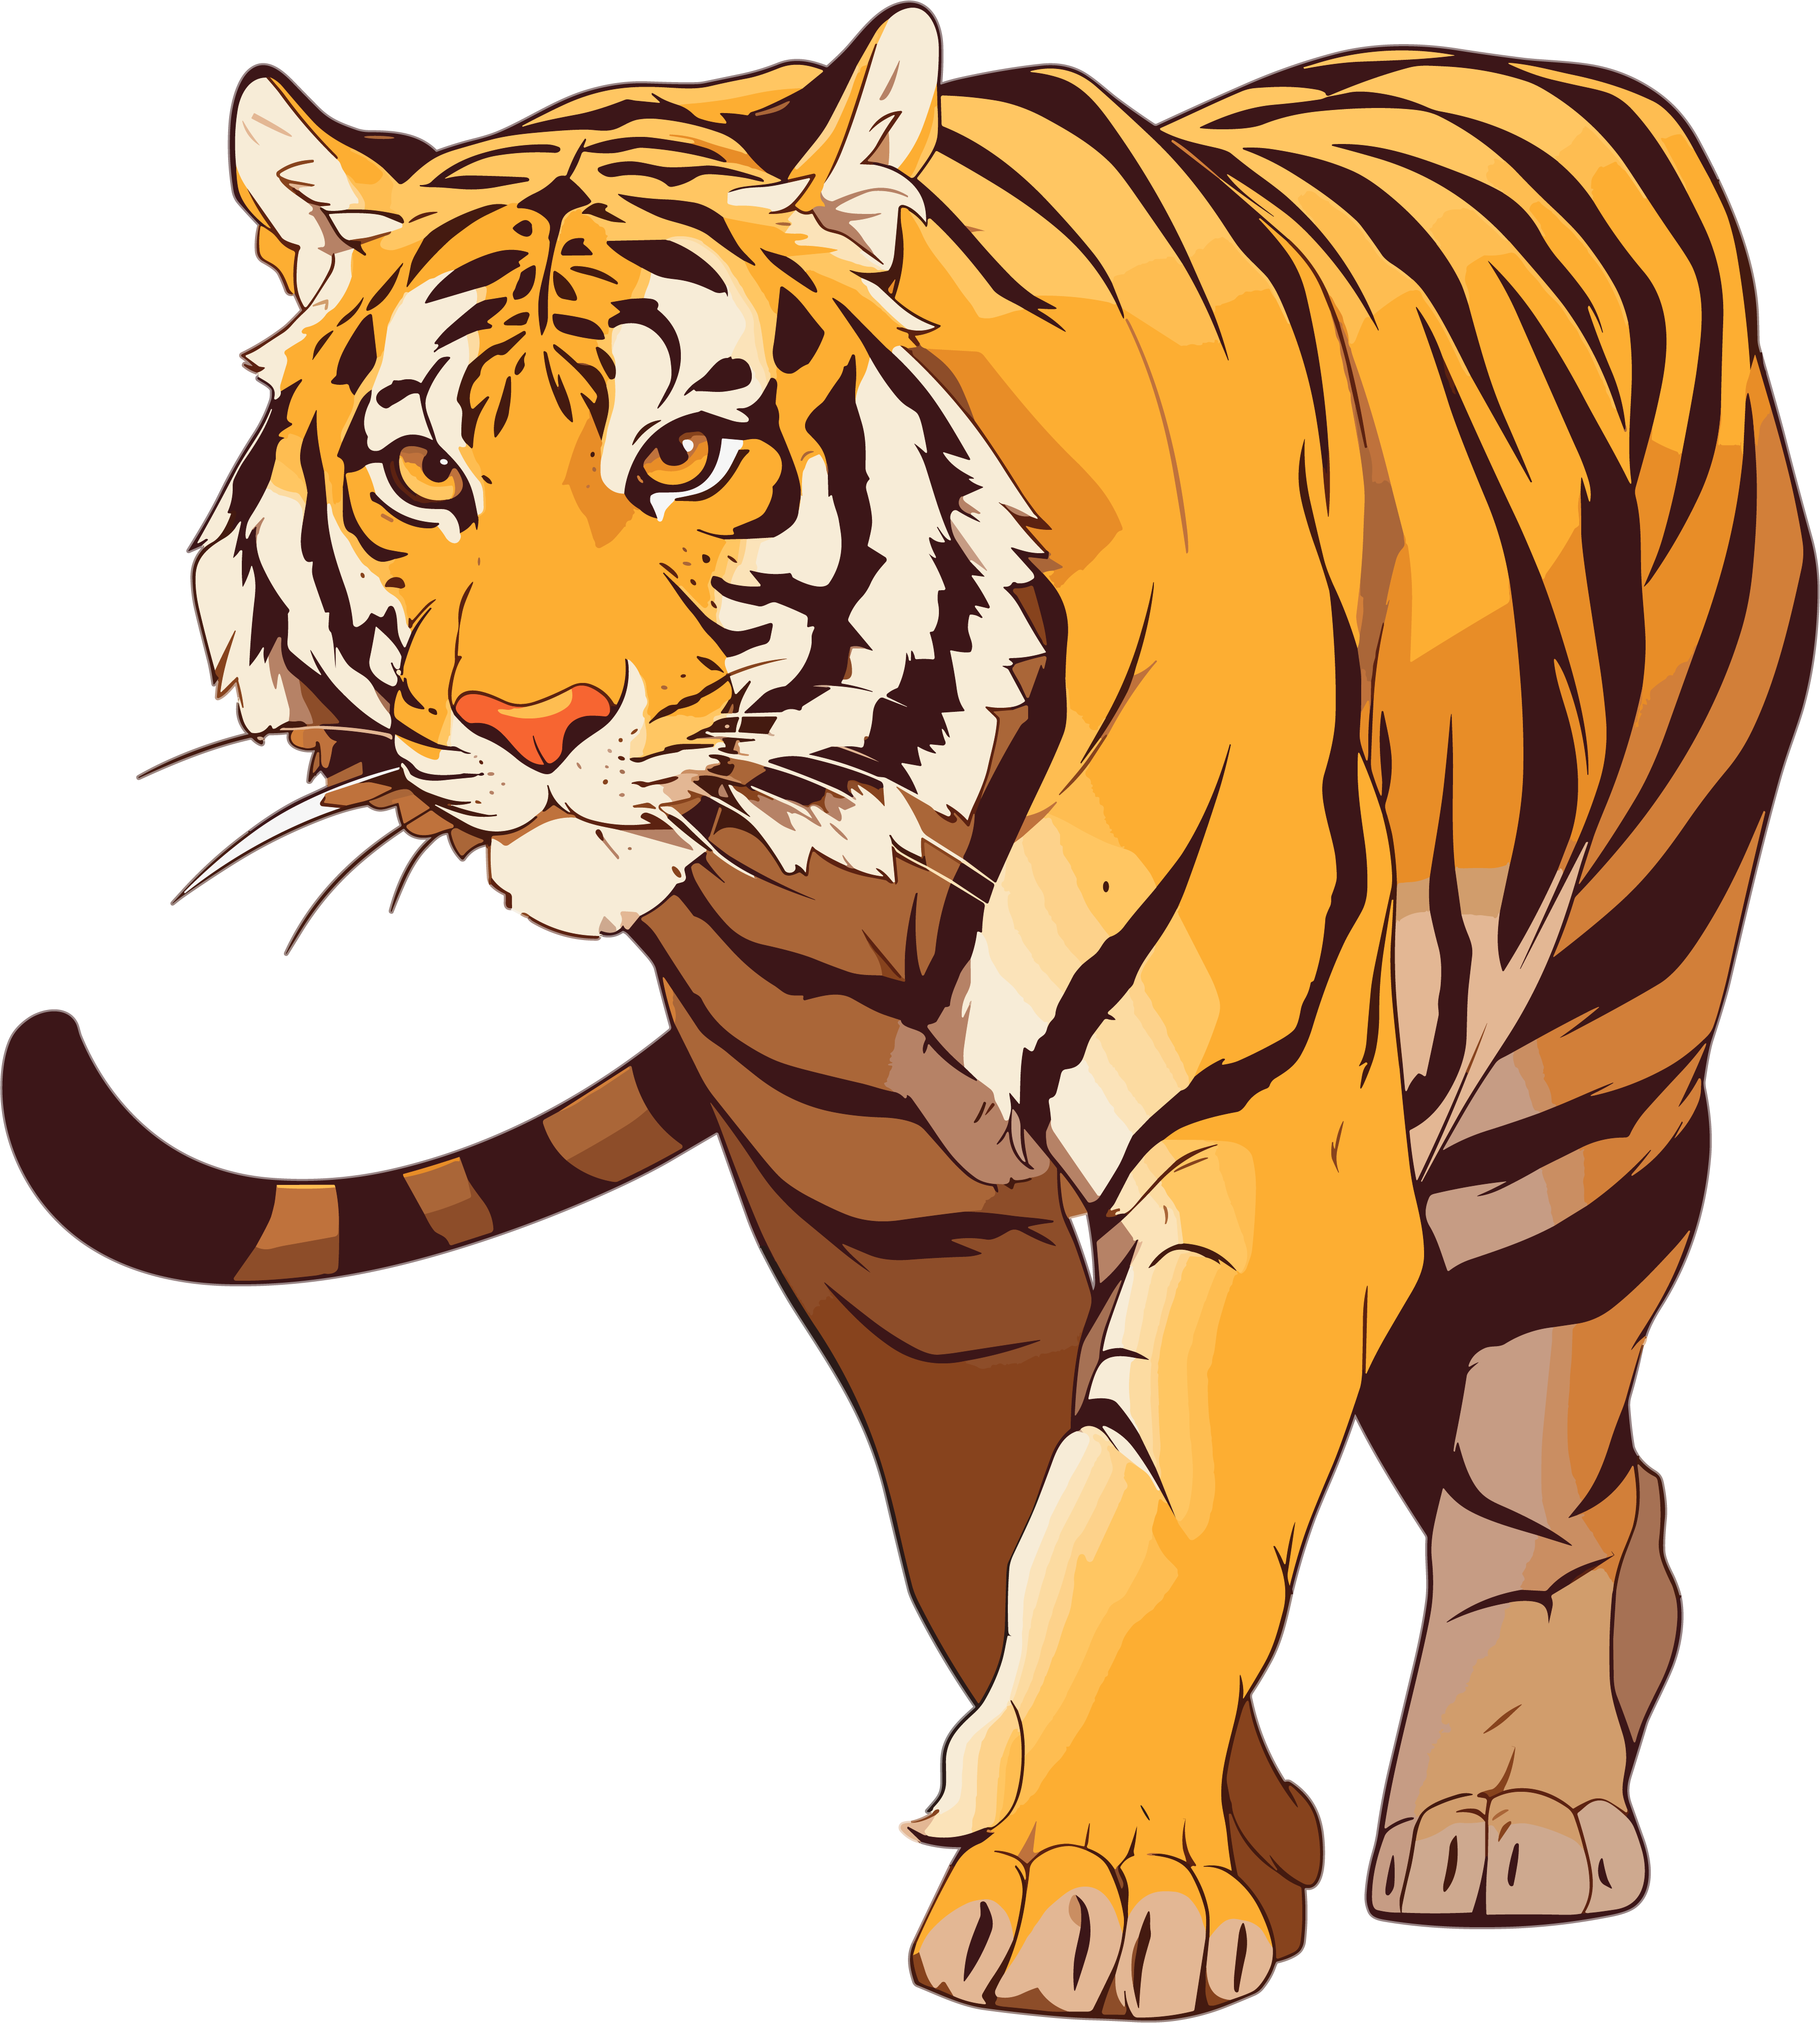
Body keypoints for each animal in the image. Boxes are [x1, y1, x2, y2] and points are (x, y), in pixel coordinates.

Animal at [3, 7, 1810, 2013]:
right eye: (424, 477)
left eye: (685, 454)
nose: (531, 726)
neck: (842, 846)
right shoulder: (879, 1209)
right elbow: (997, 1513)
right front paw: (1219, 1838)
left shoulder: (1257, 1140)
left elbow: (1156, 1500)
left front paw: (1088, 1879)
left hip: (1593, 1048)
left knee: (1543, 1449)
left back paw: (1511, 1810)